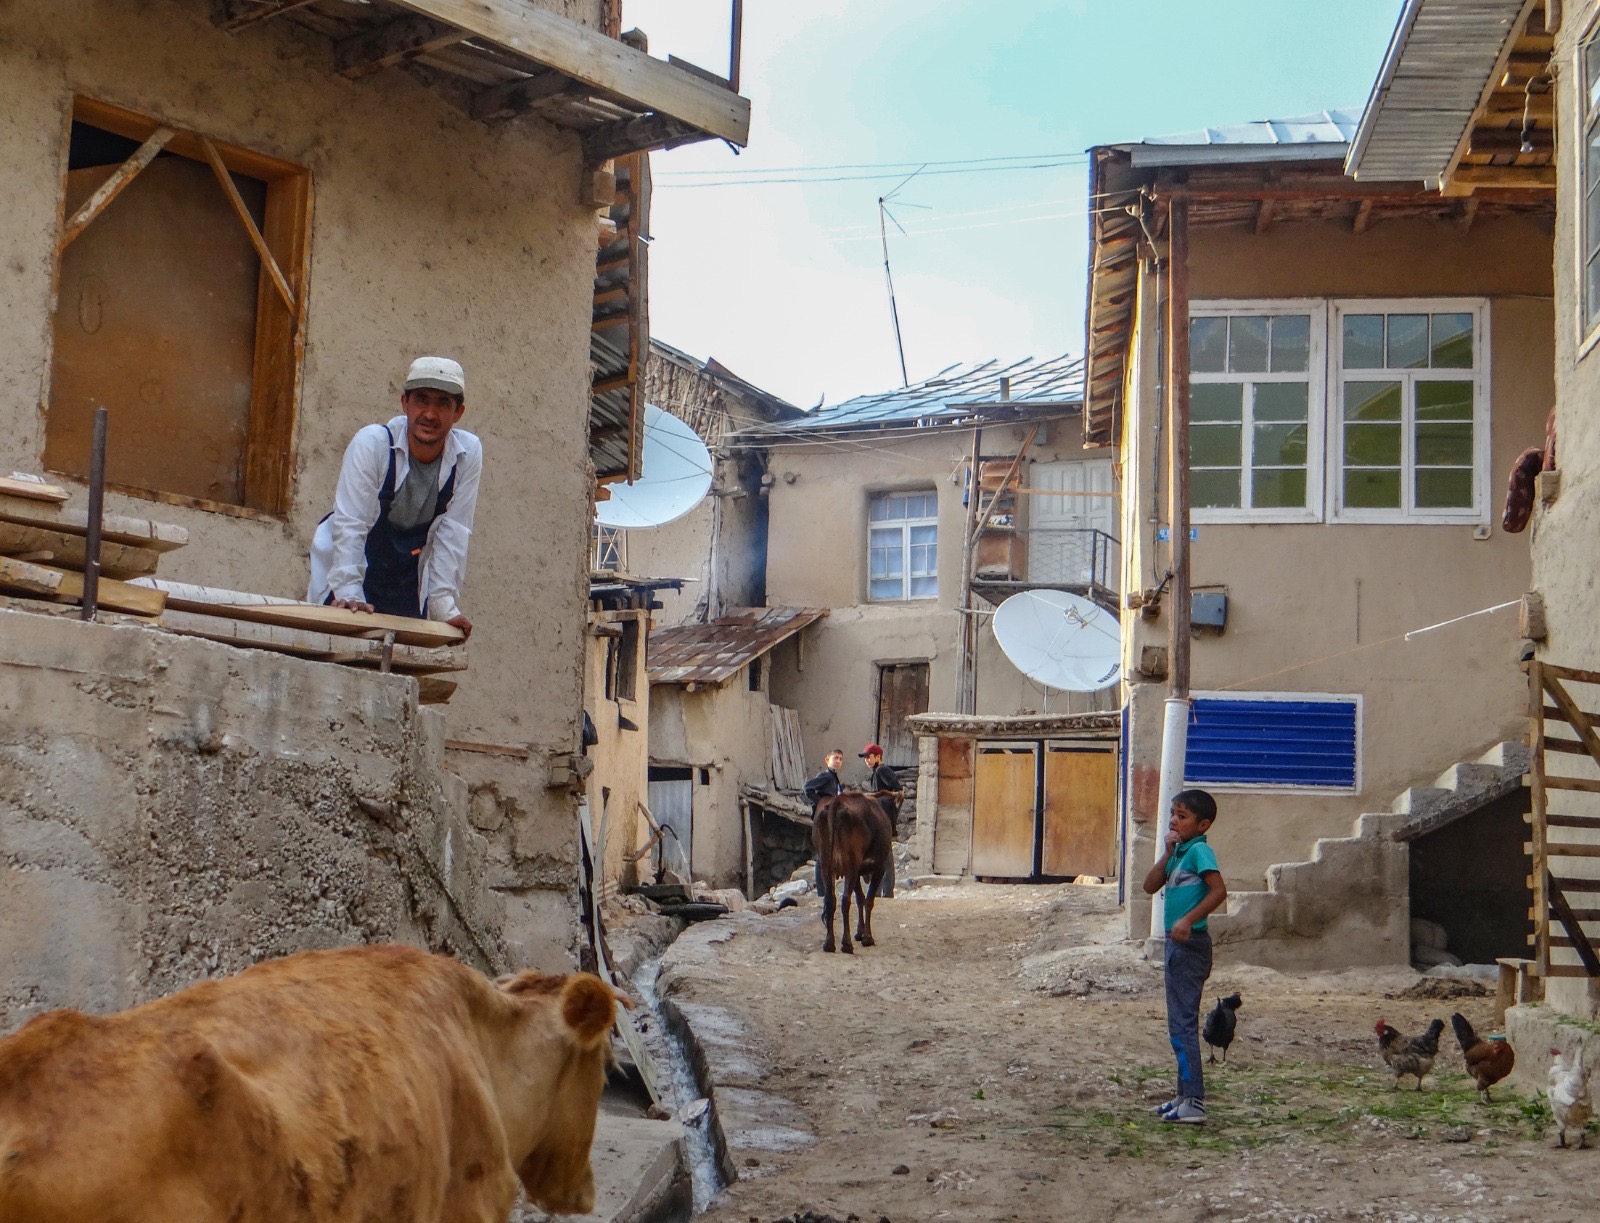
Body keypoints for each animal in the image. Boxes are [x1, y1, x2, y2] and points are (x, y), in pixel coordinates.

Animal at [819, 793, 896, 954]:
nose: (896, 832)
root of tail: (838, 800)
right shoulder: (879, 869)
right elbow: (868, 900)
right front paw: (867, 937)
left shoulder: (857, 872)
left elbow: (860, 898)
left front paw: (860, 933)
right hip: (850, 866)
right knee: (845, 900)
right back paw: (846, 944)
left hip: (826, 866)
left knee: (830, 899)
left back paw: (829, 943)